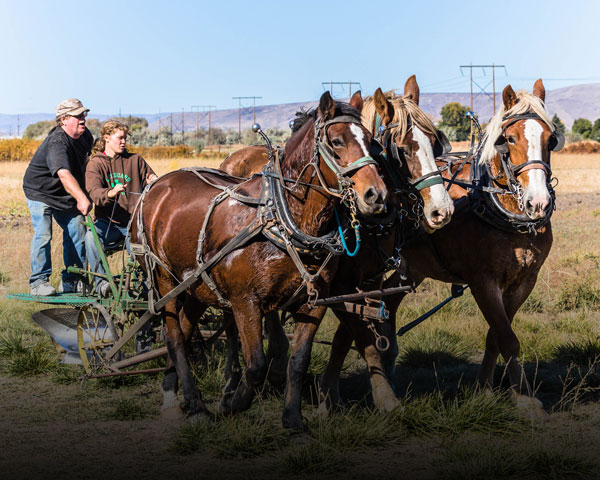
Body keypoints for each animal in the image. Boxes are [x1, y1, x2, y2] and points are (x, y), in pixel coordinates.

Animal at [132, 92, 390, 430]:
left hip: (196, 284)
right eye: (336, 141)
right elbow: (255, 364)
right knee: (174, 336)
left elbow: (298, 361)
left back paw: (179, 397)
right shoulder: (245, 302)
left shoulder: (314, 302)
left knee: (185, 329)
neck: (282, 215)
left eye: (372, 141)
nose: (377, 195)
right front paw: (233, 402)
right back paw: (190, 403)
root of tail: (158, 186)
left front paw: (292, 419)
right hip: (164, 280)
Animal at [220, 78, 454, 412]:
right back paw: (233, 377)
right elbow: (361, 338)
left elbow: (347, 336)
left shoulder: (366, 282)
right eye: (401, 149)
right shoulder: (339, 284)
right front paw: (375, 395)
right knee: (231, 318)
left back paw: (275, 365)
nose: (442, 211)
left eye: (435, 142)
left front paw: (332, 391)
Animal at [322, 78, 560, 412]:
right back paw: (332, 394)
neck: (503, 210)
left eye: (551, 140)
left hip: (410, 268)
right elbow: (507, 337)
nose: (538, 203)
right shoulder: (482, 281)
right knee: (348, 328)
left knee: (384, 308)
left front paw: (486, 390)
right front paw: (525, 399)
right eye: (509, 139)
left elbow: (497, 335)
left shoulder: (525, 280)